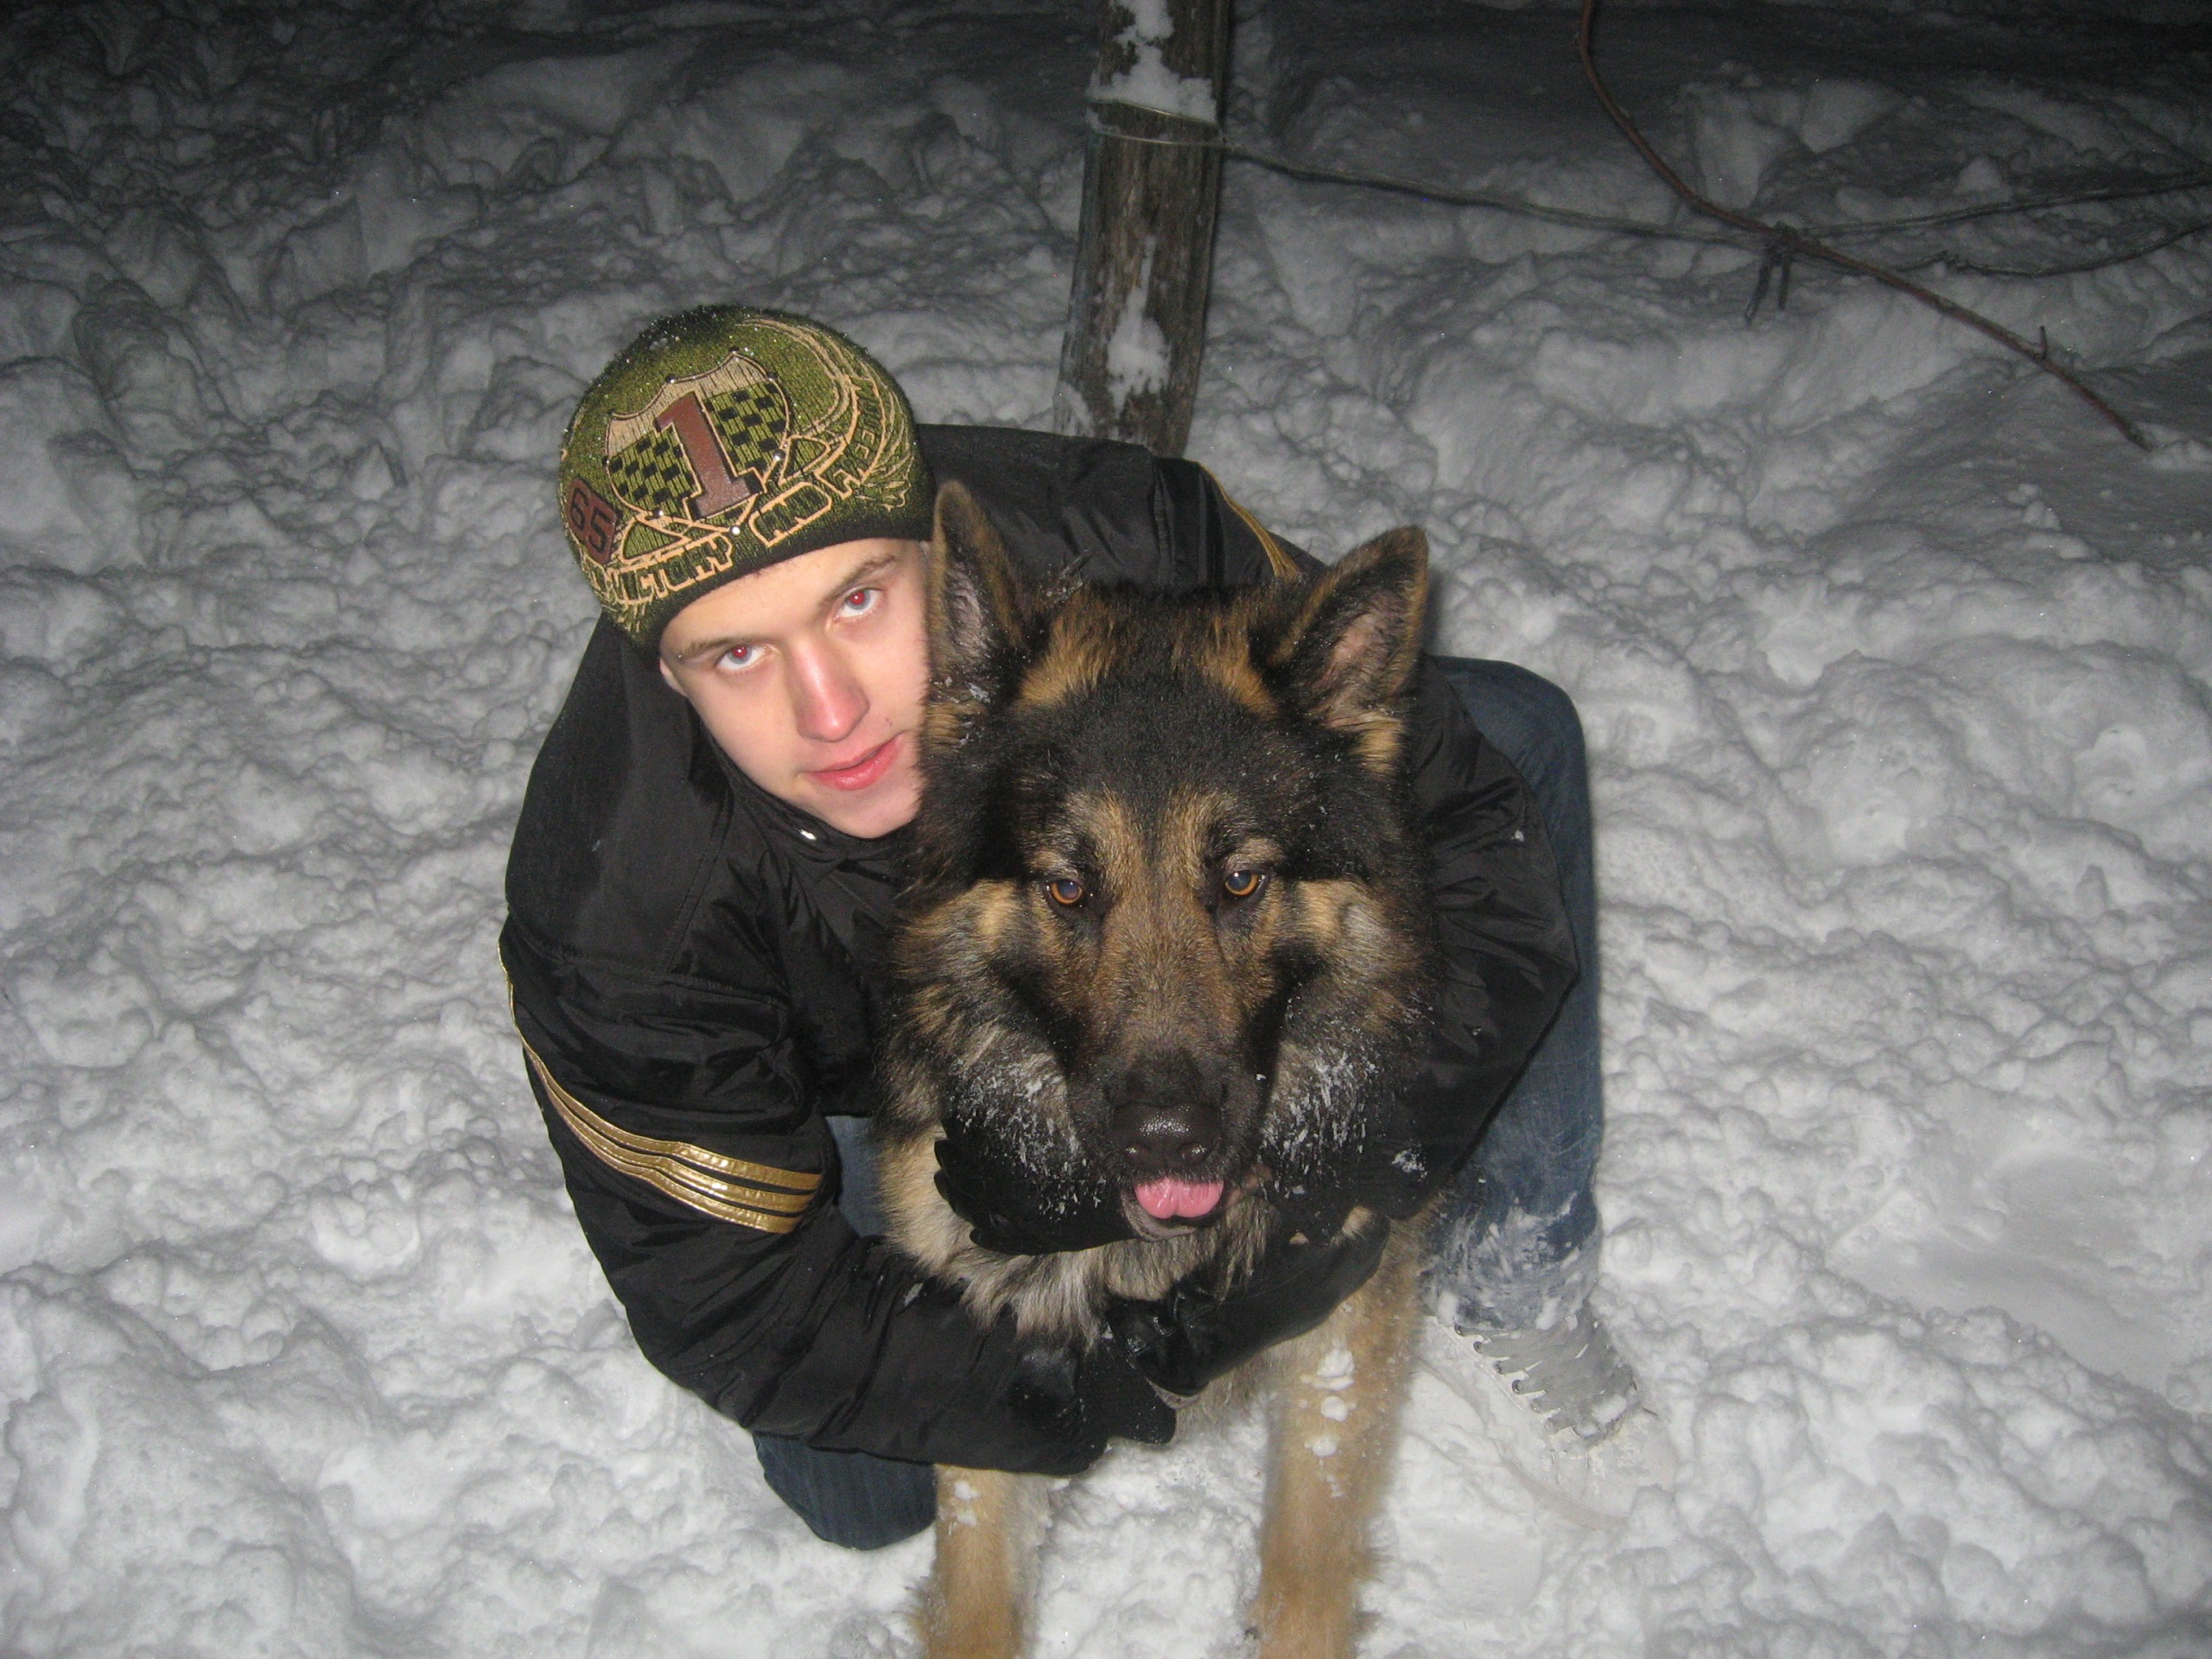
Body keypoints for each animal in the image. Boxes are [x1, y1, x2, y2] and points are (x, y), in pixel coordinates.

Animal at [877, 482, 1436, 1659]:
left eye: (1240, 880)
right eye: (1066, 888)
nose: (1166, 1139)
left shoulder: (1339, 1317)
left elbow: (1307, 1571)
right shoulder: (994, 1357)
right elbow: (978, 1594)